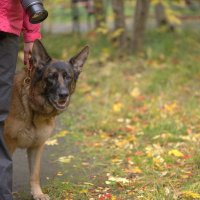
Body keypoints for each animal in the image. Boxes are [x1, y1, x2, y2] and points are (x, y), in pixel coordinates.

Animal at [3, 39, 88, 199]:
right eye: (51, 77)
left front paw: (38, 193)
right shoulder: (7, 145)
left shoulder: (36, 147)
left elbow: (35, 174)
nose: (63, 95)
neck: (32, 108)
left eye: (68, 77)